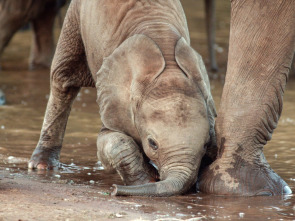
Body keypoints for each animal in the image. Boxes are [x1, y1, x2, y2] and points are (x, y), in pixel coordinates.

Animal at [28, 0, 217, 197]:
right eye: (152, 144)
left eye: (205, 144)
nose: (113, 190)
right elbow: (110, 140)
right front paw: (146, 180)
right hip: (75, 15)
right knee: (63, 78)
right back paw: (42, 166)